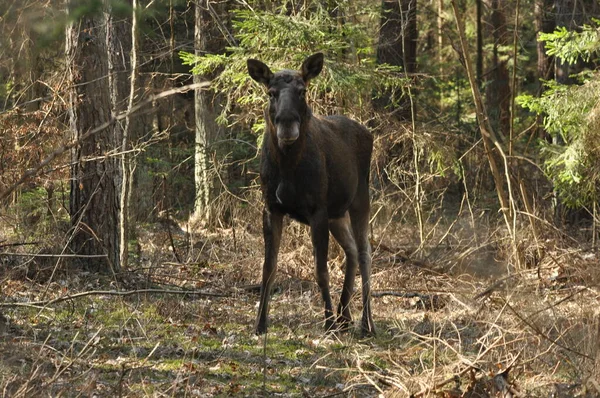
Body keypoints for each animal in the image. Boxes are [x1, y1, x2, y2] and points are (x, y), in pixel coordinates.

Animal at [247, 52, 376, 336]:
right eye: (271, 92)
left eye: (302, 90)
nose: (286, 125)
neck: (287, 167)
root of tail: (368, 132)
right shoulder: (271, 207)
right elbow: (268, 268)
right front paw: (260, 323)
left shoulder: (317, 209)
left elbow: (320, 270)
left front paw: (327, 322)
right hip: (337, 213)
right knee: (351, 250)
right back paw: (344, 315)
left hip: (360, 199)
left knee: (365, 253)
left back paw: (365, 322)